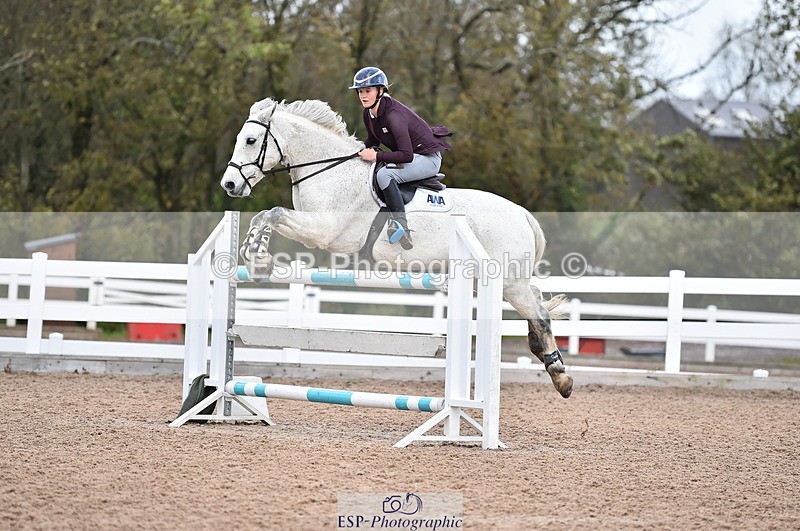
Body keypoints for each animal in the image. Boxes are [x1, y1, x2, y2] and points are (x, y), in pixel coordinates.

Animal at [220, 98, 573, 398]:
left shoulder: (321, 230)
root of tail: (523, 215)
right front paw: (254, 256)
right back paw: (548, 361)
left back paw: (562, 377)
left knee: (541, 315)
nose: (230, 184)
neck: (330, 171)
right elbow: (264, 216)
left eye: (250, 140)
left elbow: (273, 214)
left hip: (508, 282)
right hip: (500, 281)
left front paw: (259, 260)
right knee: (537, 303)